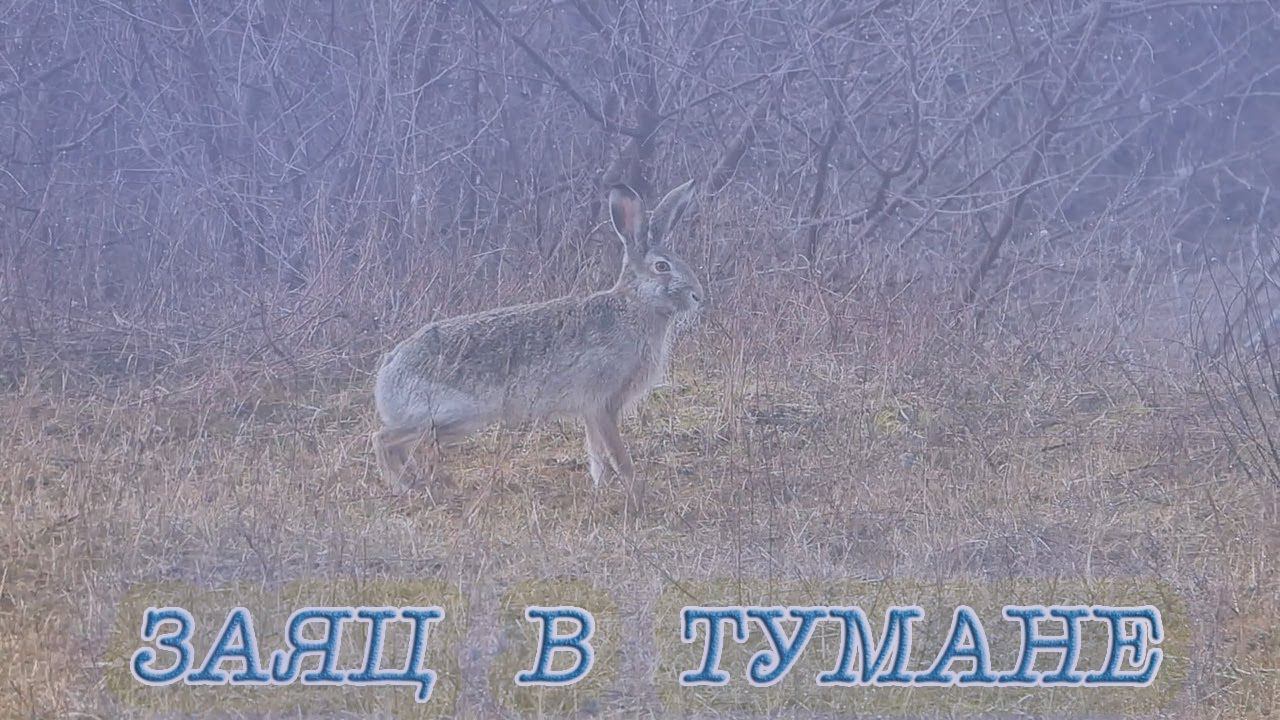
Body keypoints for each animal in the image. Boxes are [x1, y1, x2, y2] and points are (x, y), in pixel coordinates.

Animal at [372, 179, 704, 510]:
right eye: (662, 266)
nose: (698, 296)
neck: (636, 303)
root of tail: (389, 369)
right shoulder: (601, 403)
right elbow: (617, 455)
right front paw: (637, 495)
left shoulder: (592, 412)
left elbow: (597, 454)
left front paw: (602, 490)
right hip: (452, 414)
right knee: (385, 438)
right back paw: (408, 486)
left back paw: (416, 484)